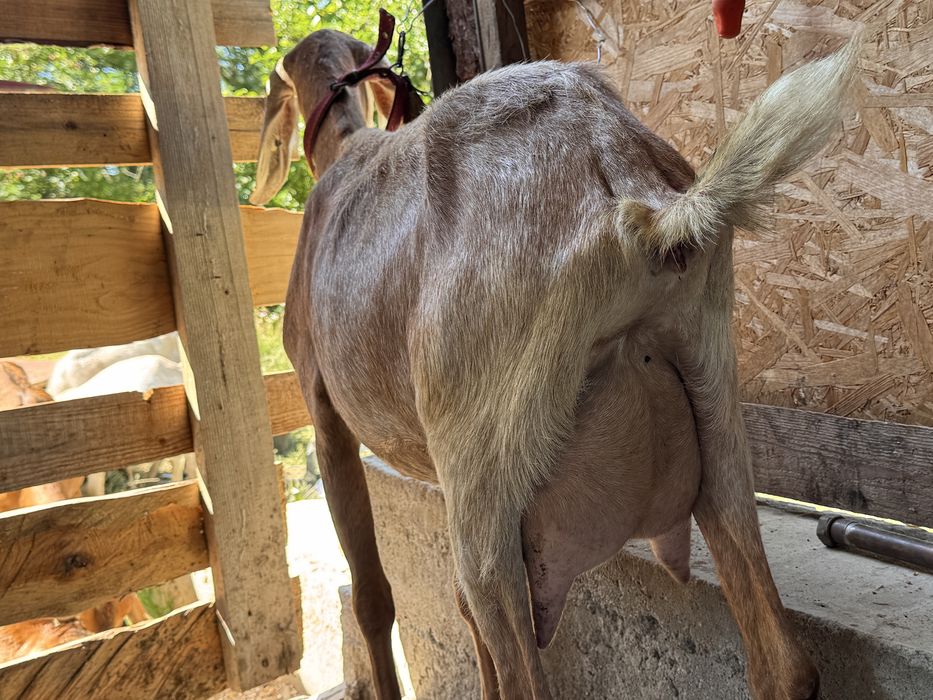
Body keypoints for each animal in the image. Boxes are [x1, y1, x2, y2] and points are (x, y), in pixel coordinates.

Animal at [251, 26, 857, 700]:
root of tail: (632, 196)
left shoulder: (325, 415)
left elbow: (374, 598)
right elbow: (457, 609)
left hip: (483, 473)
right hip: (715, 407)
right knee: (784, 663)